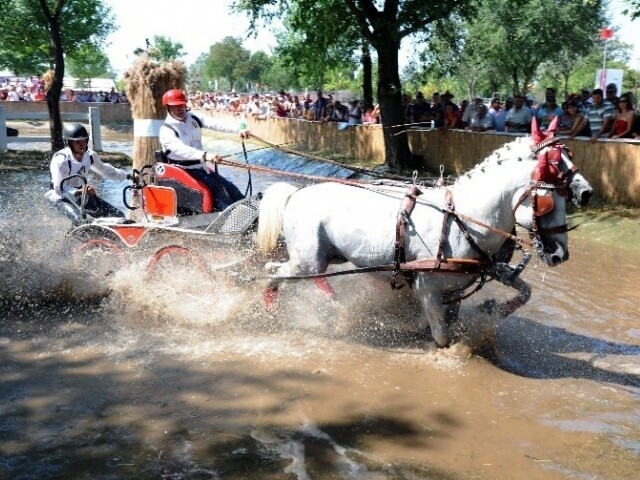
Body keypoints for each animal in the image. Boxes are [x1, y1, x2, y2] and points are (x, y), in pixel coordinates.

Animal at [258, 131, 592, 346]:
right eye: (547, 201)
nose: (560, 254)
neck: (463, 219)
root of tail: (295, 193)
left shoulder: (469, 281)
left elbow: (524, 292)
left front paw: (493, 310)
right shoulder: (428, 290)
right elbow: (442, 338)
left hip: (324, 258)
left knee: (279, 272)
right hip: (307, 260)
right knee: (281, 274)